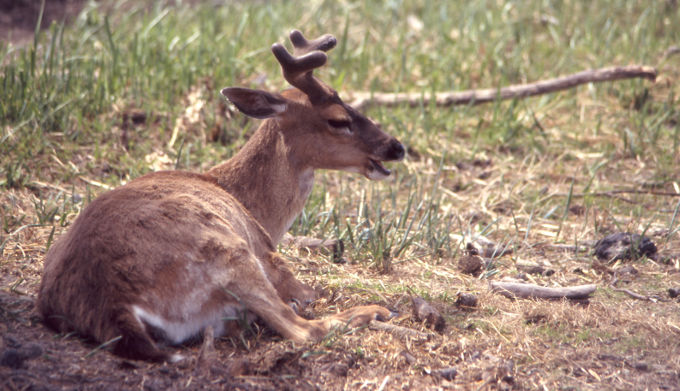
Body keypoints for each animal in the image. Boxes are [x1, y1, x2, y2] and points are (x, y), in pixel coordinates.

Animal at [37, 29, 406, 362]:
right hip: (231, 253)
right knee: (302, 329)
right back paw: (374, 310)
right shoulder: (271, 258)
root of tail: (114, 307)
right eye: (338, 119)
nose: (396, 147)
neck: (249, 203)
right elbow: (308, 294)